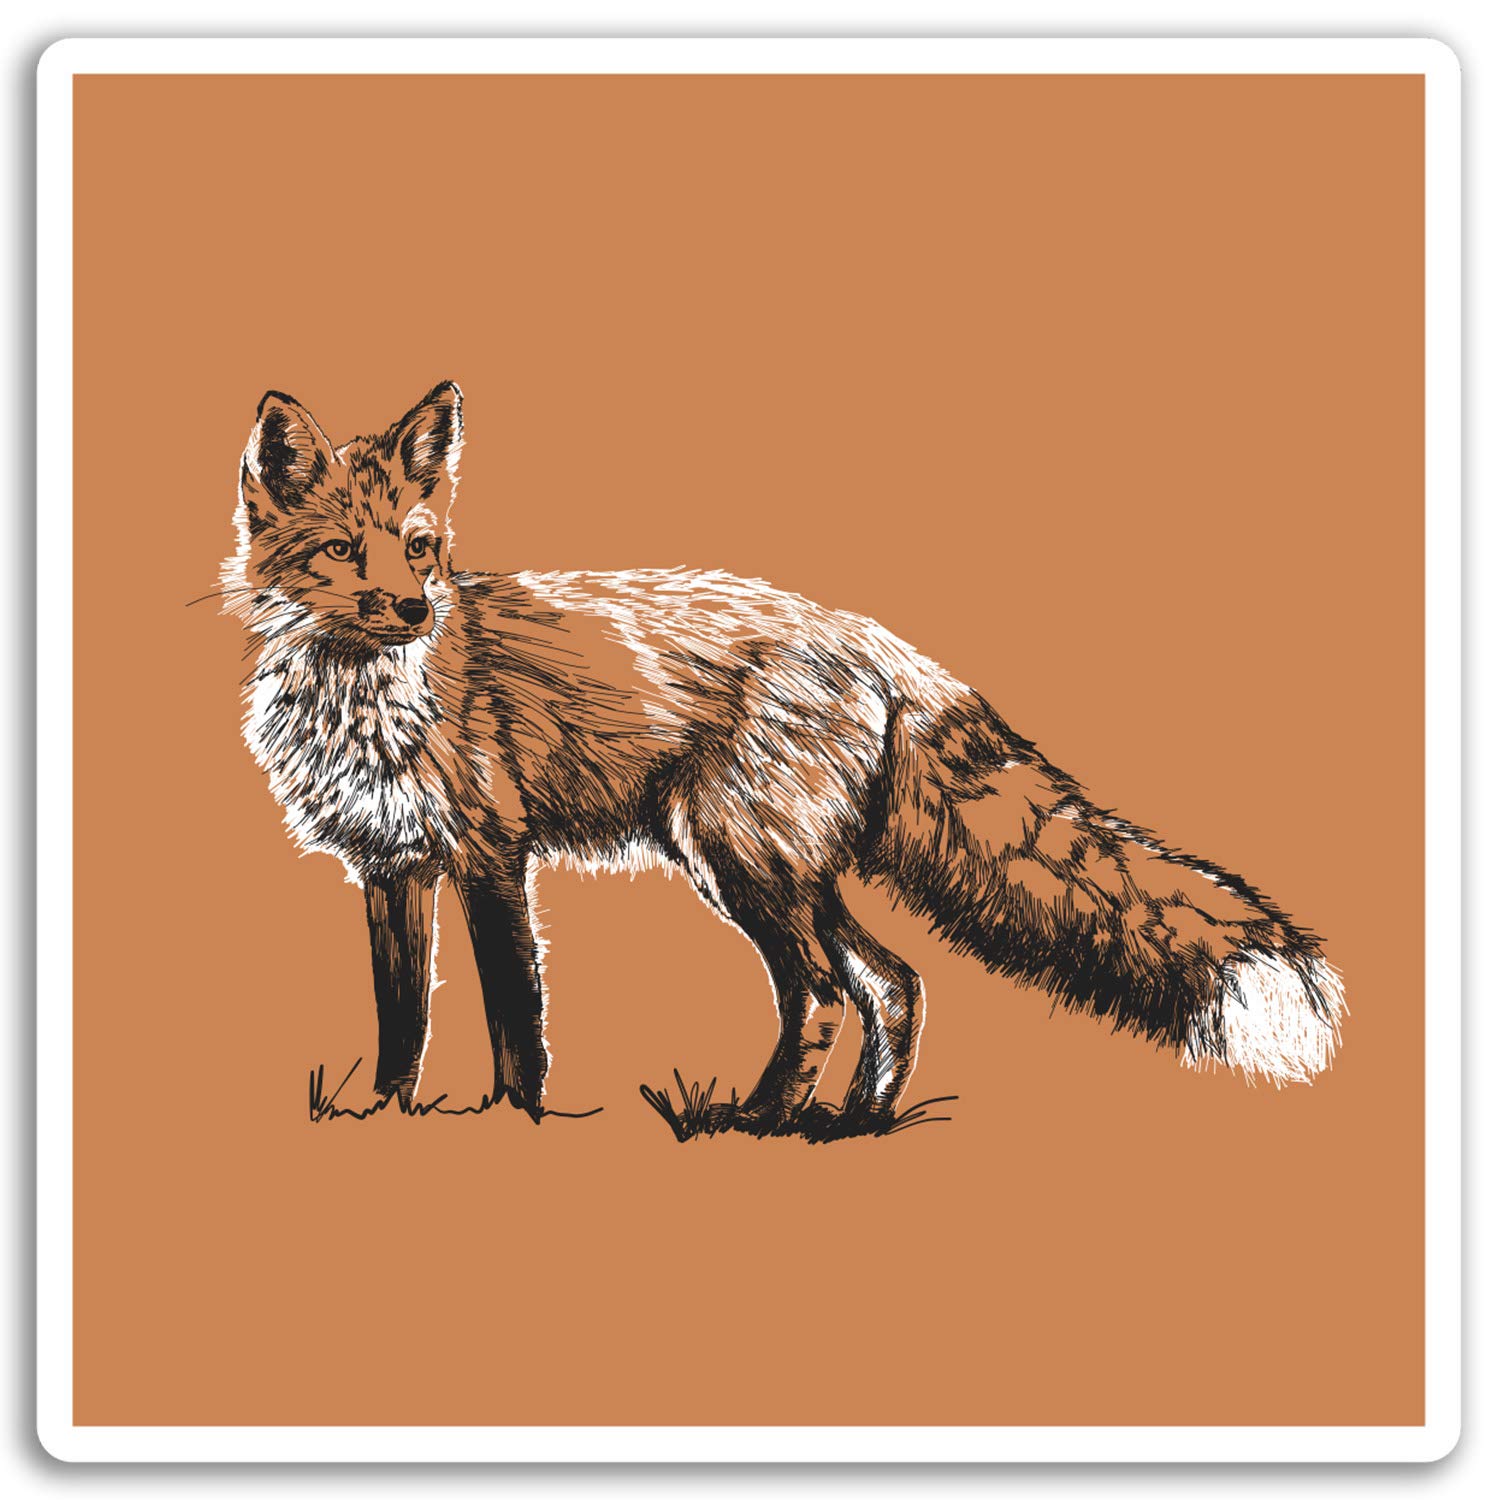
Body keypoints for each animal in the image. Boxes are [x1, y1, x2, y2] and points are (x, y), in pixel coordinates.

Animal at [223, 381, 1345, 1128]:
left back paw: (759, 1120)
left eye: (417, 549)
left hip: (742, 865)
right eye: (343, 552)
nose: (415, 611)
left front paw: (514, 1126)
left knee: (821, 994)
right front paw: (386, 1122)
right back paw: (854, 1123)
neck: (363, 699)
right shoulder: (390, 866)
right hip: (785, 874)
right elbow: (401, 1019)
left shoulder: (491, 856)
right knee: (895, 983)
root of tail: (880, 642)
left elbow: (514, 1016)